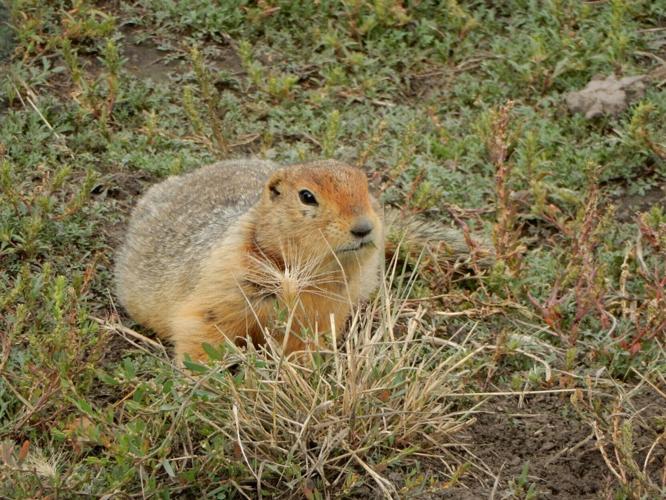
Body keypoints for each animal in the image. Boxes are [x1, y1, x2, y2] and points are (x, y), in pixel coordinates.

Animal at [114, 159, 384, 363]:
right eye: (306, 196)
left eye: (366, 186)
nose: (364, 227)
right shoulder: (226, 281)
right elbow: (203, 330)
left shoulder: (328, 308)